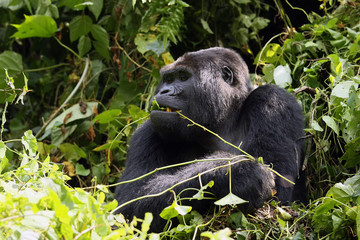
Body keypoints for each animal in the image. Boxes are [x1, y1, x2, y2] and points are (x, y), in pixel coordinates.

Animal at [114, 47, 306, 232]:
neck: (225, 121)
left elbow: (277, 198)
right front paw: (237, 172)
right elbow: (129, 202)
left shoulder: (275, 101)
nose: (164, 91)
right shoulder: (147, 130)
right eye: (168, 79)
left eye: (183, 77)